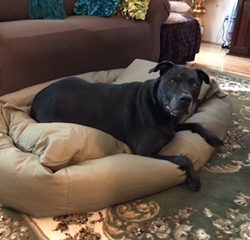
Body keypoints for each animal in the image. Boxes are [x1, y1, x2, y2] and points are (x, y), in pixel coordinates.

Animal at [29, 61, 223, 191]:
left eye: (195, 83)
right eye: (171, 81)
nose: (185, 99)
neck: (158, 106)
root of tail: (36, 99)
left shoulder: (172, 127)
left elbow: (195, 123)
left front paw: (214, 137)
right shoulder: (145, 152)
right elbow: (183, 158)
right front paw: (194, 179)